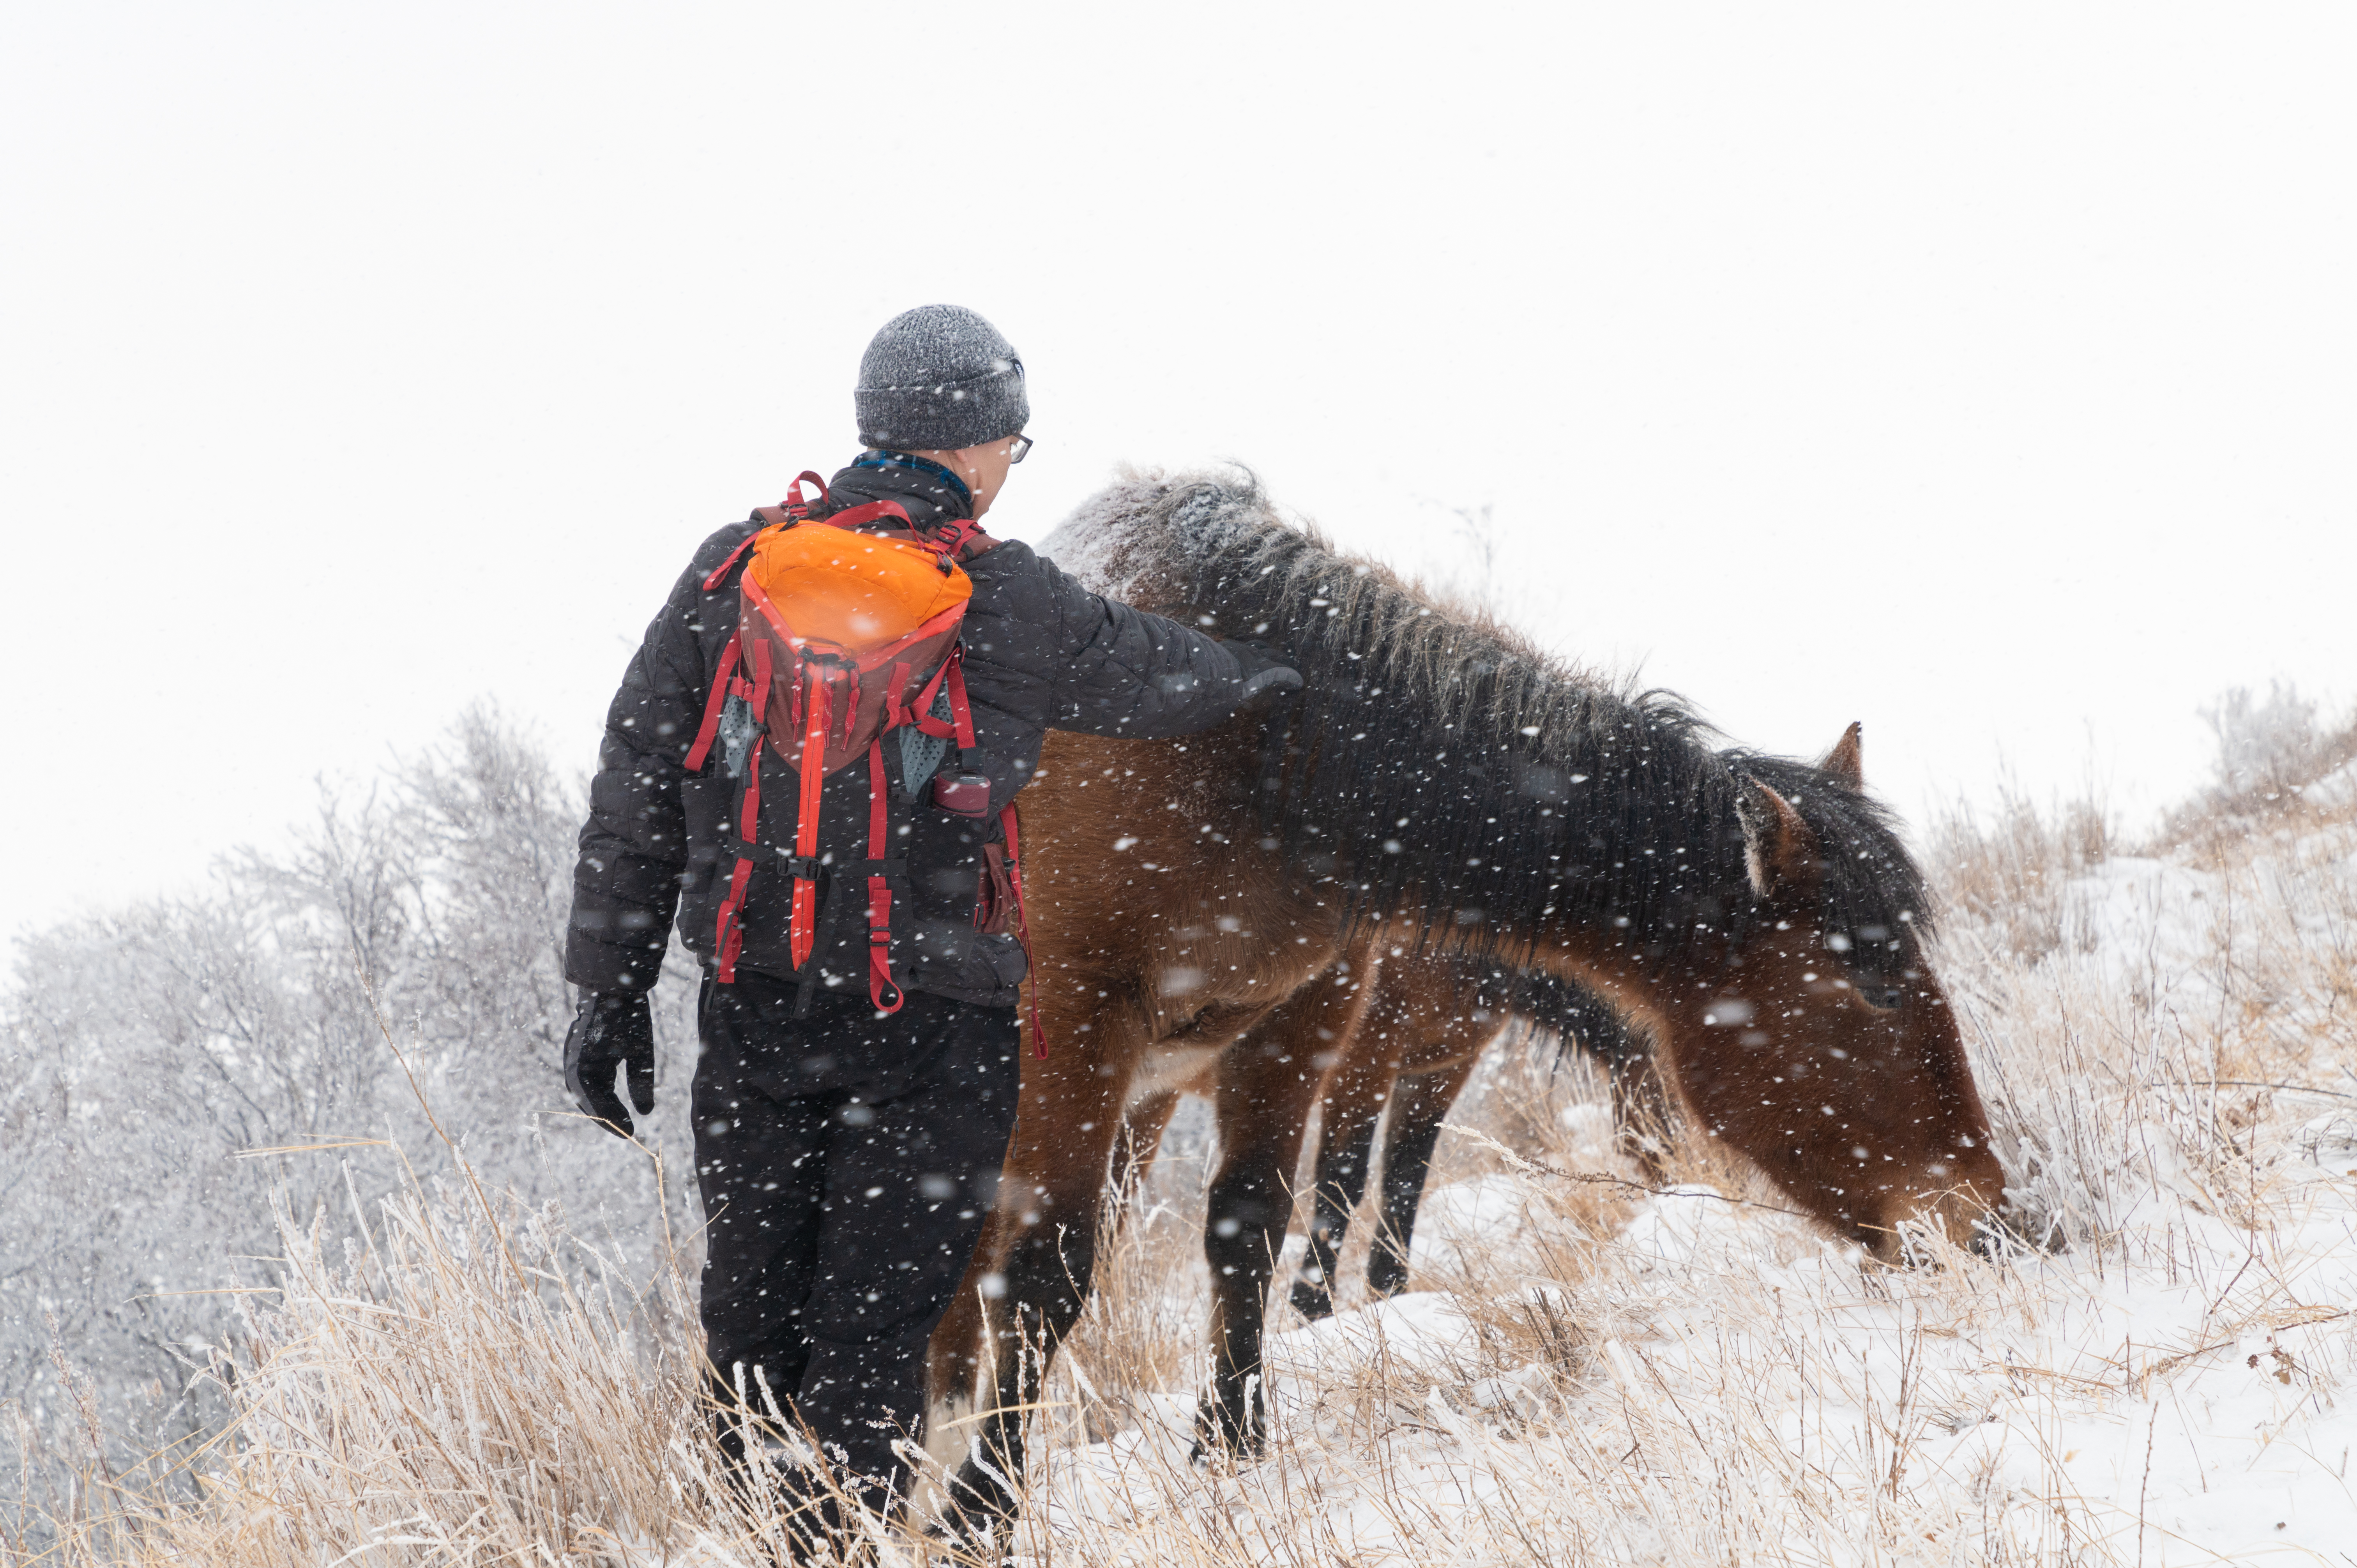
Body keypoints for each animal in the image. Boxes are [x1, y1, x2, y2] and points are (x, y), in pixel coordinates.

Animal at [928, 471, 1998, 1537]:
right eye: (1872, 986)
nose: (1987, 1219)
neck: (1258, 751)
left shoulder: (1317, 1023)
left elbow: (1265, 1223)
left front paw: (1230, 1453)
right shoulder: (1084, 1016)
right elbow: (1058, 1264)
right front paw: (977, 1512)